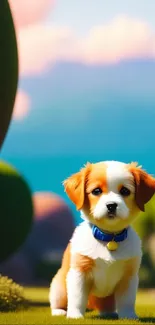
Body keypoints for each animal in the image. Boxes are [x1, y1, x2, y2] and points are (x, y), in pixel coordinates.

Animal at [48, 161, 155, 318]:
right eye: (96, 191)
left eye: (125, 191)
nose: (111, 205)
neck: (109, 237)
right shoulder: (79, 272)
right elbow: (77, 297)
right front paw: (75, 315)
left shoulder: (129, 276)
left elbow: (127, 300)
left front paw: (128, 316)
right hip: (59, 287)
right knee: (59, 300)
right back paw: (59, 311)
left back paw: (109, 313)